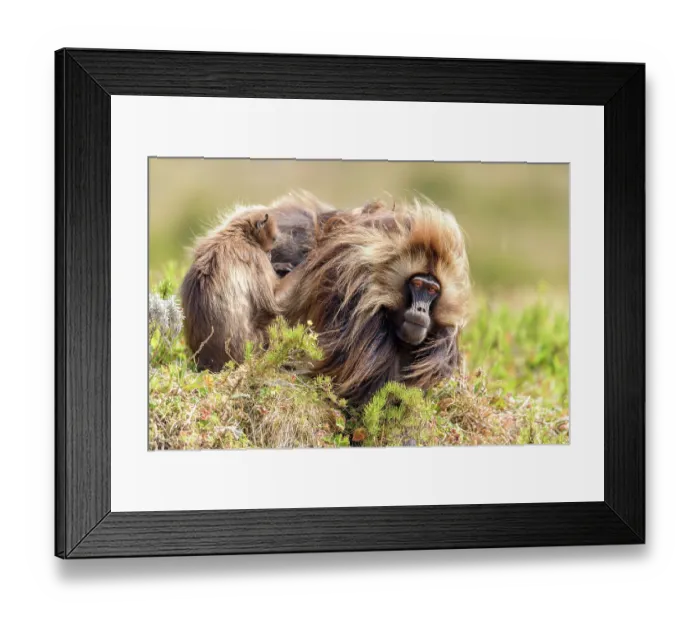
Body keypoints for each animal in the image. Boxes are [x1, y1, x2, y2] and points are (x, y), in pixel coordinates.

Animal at [180, 206, 281, 372]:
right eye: (273, 239)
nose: (271, 255)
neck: (240, 233)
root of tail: (207, 361)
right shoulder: (257, 258)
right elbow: (270, 305)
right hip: (250, 345)